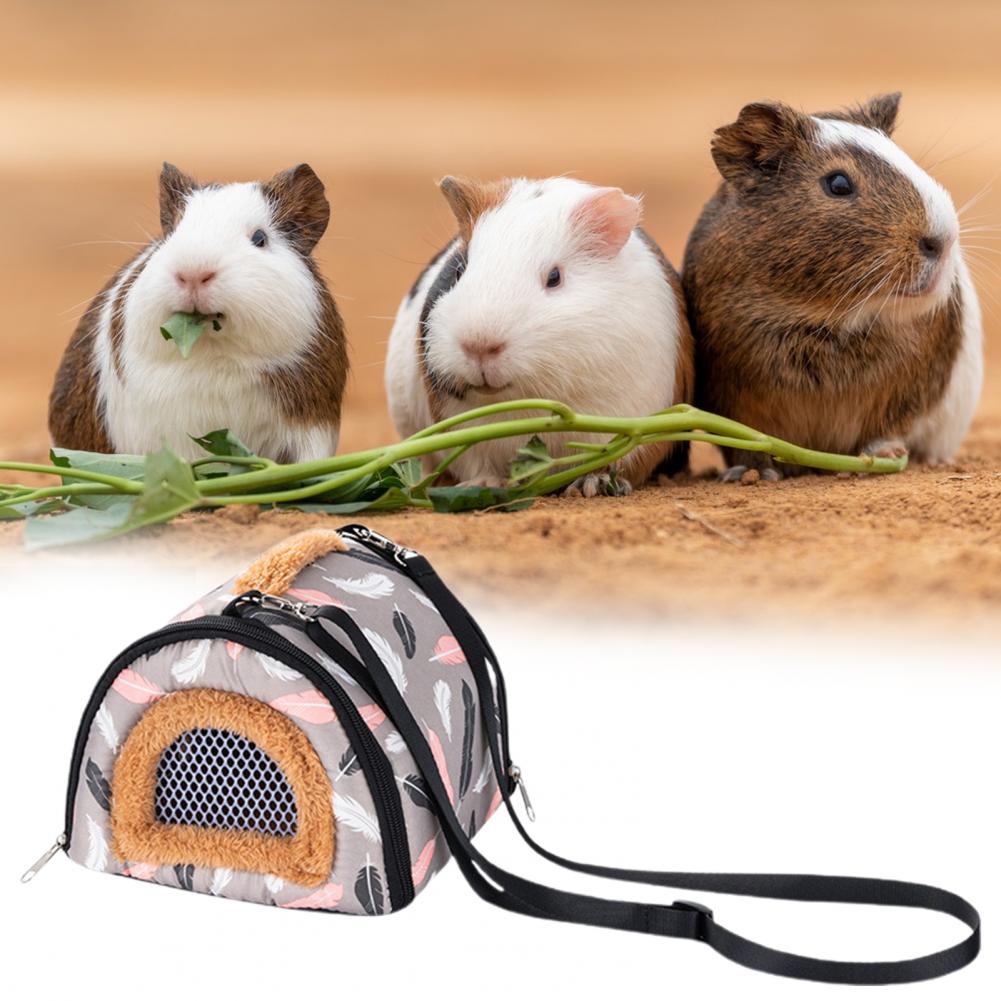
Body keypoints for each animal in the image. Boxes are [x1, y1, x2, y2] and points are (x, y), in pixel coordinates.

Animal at [385, 176, 694, 494]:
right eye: (459, 270)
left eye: (554, 277)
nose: (479, 346)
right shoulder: (459, 427)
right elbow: (474, 460)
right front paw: (483, 485)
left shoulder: (632, 416)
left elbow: (616, 456)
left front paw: (591, 486)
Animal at [682, 93, 982, 479]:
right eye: (838, 183)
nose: (942, 242)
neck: (826, 324)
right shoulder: (732, 397)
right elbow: (747, 441)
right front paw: (754, 474)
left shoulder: (909, 394)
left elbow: (886, 430)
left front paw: (885, 456)